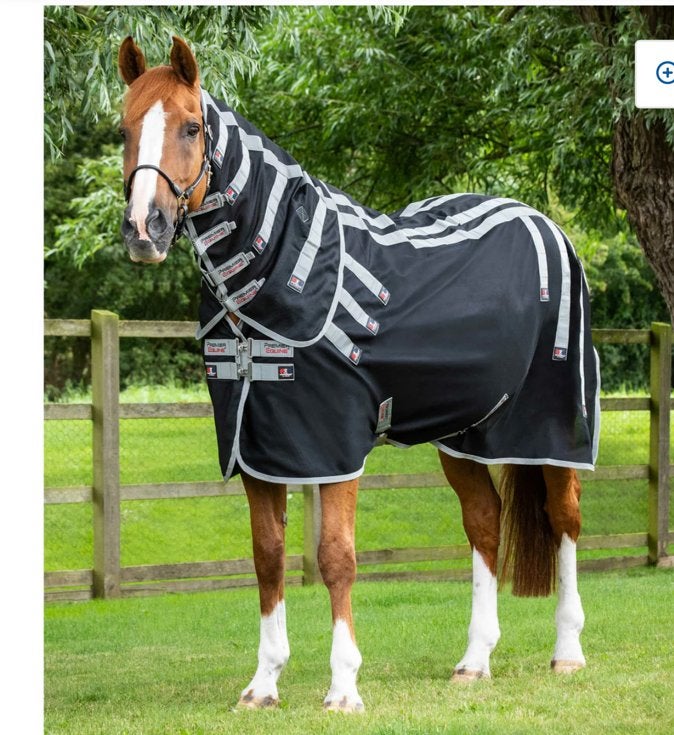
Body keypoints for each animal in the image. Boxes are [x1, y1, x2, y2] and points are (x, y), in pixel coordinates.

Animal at [118, 36, 599, 712]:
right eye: (124, 130)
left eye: (190, 126)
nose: (145, 229)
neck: (272, 277)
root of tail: (545, 224)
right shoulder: (259, 444)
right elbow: (268, 556)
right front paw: (263, 684)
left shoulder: (332, 442)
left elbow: (336, 557)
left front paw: (344, 686)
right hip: (462, 435)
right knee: (484, 523)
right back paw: (474, 661)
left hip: (552, 430)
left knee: (564, 521)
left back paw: (568, 652)